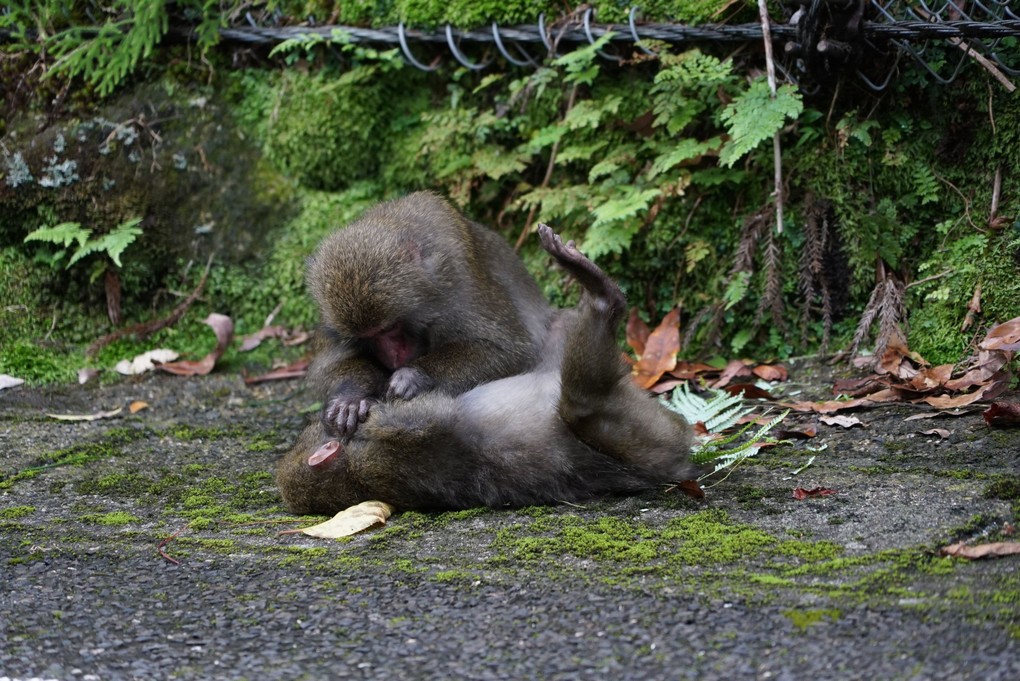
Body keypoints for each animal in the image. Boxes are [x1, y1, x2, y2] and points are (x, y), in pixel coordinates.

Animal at [275, 226, 697, 513]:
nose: (320, 425)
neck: (356, 476)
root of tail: (669, 462)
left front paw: (351, 402)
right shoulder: (393, 437)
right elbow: (431, 416)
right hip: (640, 432)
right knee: (583, 405)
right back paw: (602, 297)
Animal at [306, 191, 554, 438]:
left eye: (389, 327)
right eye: (367, 337)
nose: (394, 356)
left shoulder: (459, 290)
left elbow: (509, 350)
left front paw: (413, 375)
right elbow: (327, 368)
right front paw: (349, 398)